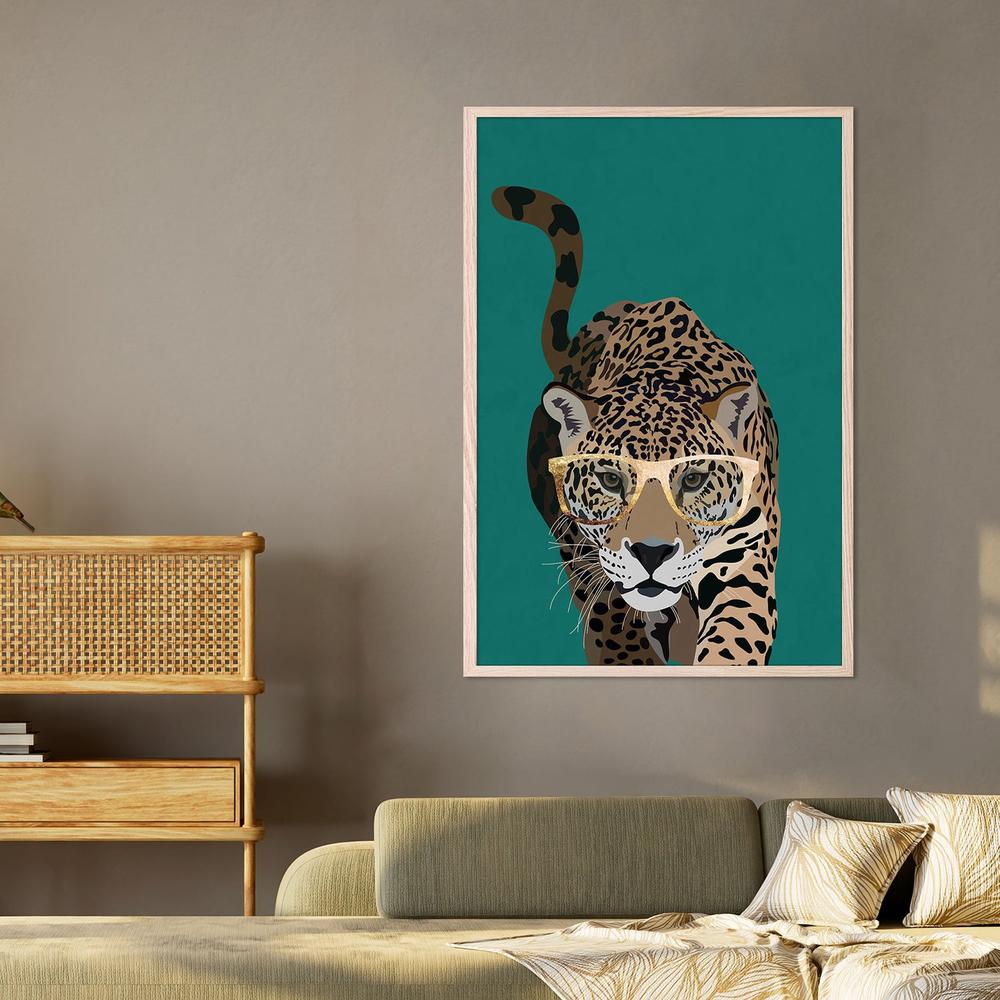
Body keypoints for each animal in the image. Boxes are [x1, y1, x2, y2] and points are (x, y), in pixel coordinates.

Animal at [492, 185, 781, 666]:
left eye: (694, 479)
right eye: (610, 479)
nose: (651, 552)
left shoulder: (744, 560)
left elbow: (734, 641)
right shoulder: (592, 563)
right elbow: (616, 630)